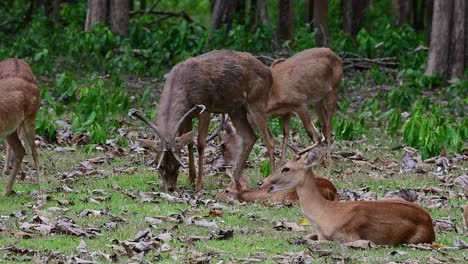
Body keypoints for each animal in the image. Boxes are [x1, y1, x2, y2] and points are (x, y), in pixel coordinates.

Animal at [128, 50, 276, 192]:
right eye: (160, 166)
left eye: (177, 165)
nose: (170, 188)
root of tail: (268, 72)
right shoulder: (187, 115)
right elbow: (189, 143)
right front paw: (190, 178)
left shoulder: (206, 108)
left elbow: (200, 144)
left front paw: (199, 185)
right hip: (236, 109)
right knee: (250, 137)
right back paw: (235, 179)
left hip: (257, 101)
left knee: (269, 139)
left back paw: (270, 178)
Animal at [266, 144, 436, 245]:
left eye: (286, 168)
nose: (263, 182)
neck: (325, 214)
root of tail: (430, 226)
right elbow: (306, 237)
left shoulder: (350, 237)